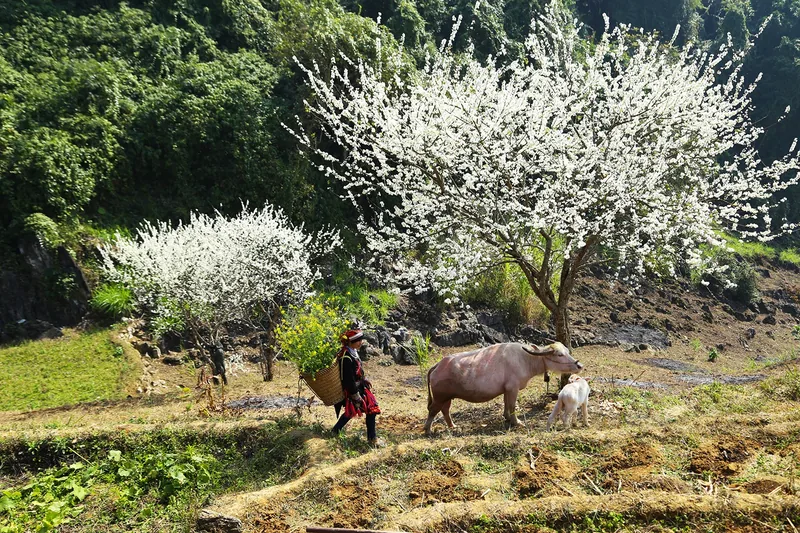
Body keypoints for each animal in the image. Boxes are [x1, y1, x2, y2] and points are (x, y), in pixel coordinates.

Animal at [424, 342, 583, 435]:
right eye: (560, 354)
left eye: (567, 351)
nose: (579, 365)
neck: (525, 359)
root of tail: (437, 365)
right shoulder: (513, 388)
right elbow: (512, 405)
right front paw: (517, 422)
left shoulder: (507, 389)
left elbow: (506, 404)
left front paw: (507, 418)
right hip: (439, 397)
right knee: (433, 410)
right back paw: (427, 430)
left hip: (447, 398)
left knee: (445, 410)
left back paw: (453, 426)